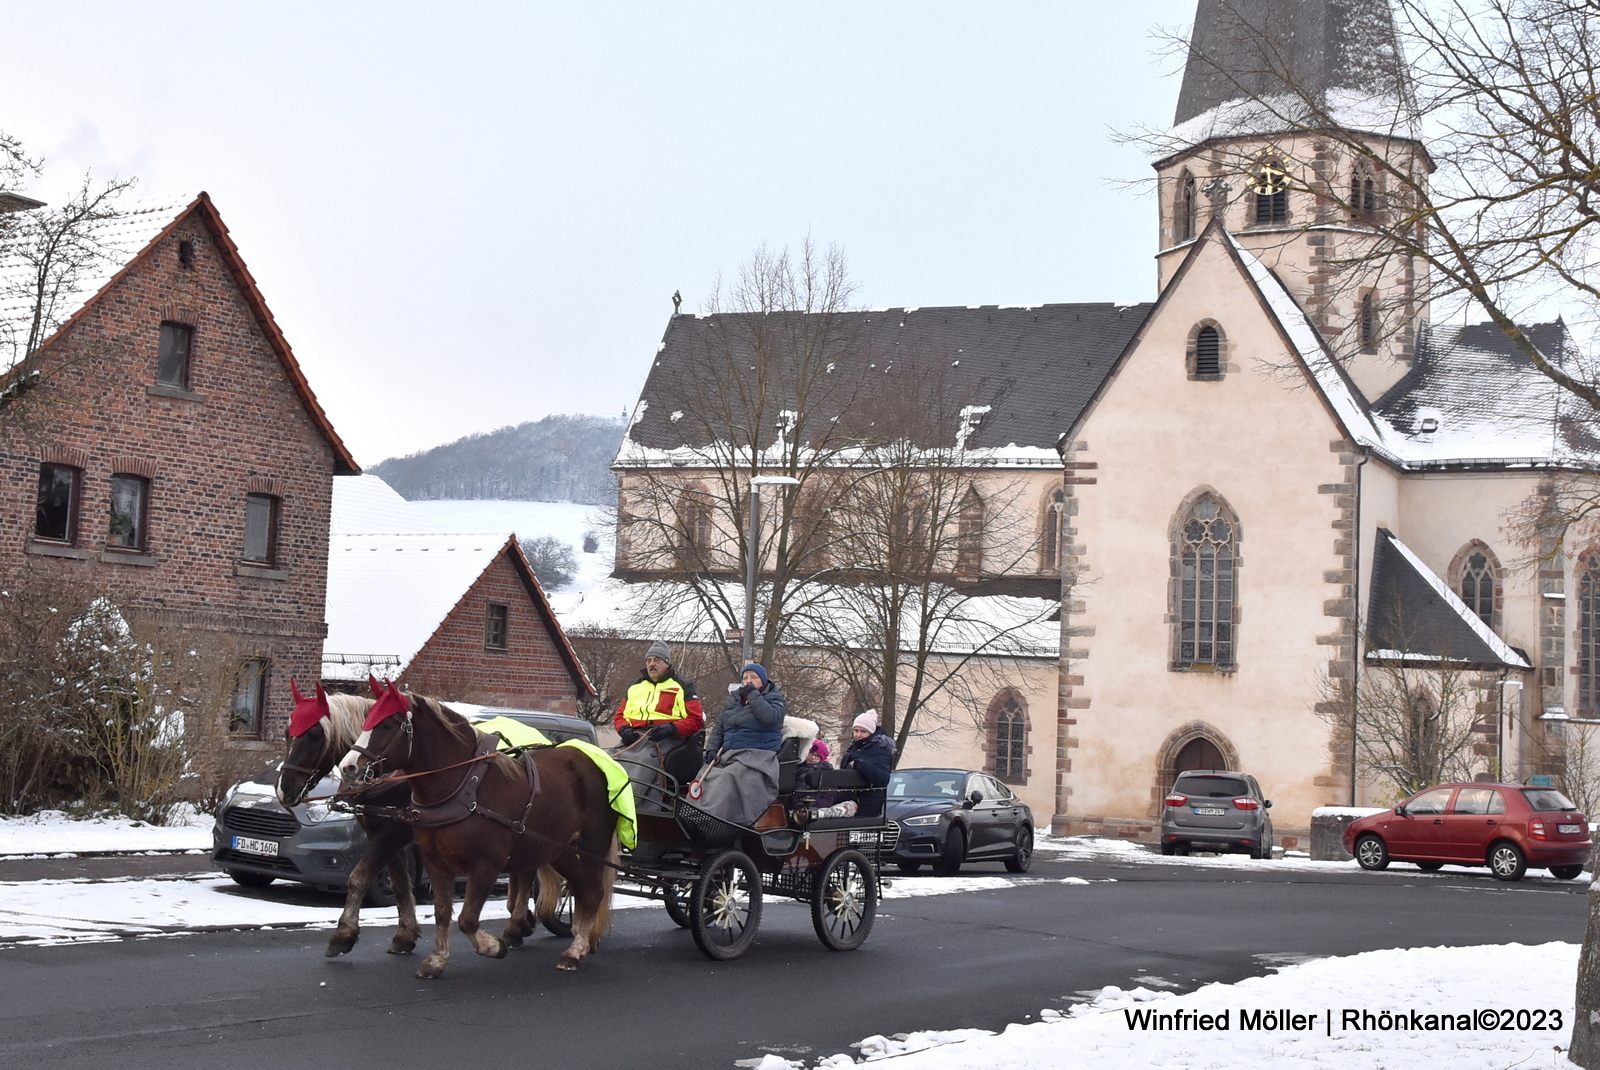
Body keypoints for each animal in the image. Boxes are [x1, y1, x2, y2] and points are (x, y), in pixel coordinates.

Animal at [337, 687, 617, 972]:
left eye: (387, 724)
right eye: (366, 721)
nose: (348, 767)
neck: (463, 788)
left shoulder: (485, 864)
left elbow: (467, 919)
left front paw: (493, 946)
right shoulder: (435, 862)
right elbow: (441, 912)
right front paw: (436, 959)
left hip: (592, 846)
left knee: (593, 893)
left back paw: (574, 950)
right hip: (560, 850)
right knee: (581, 890)